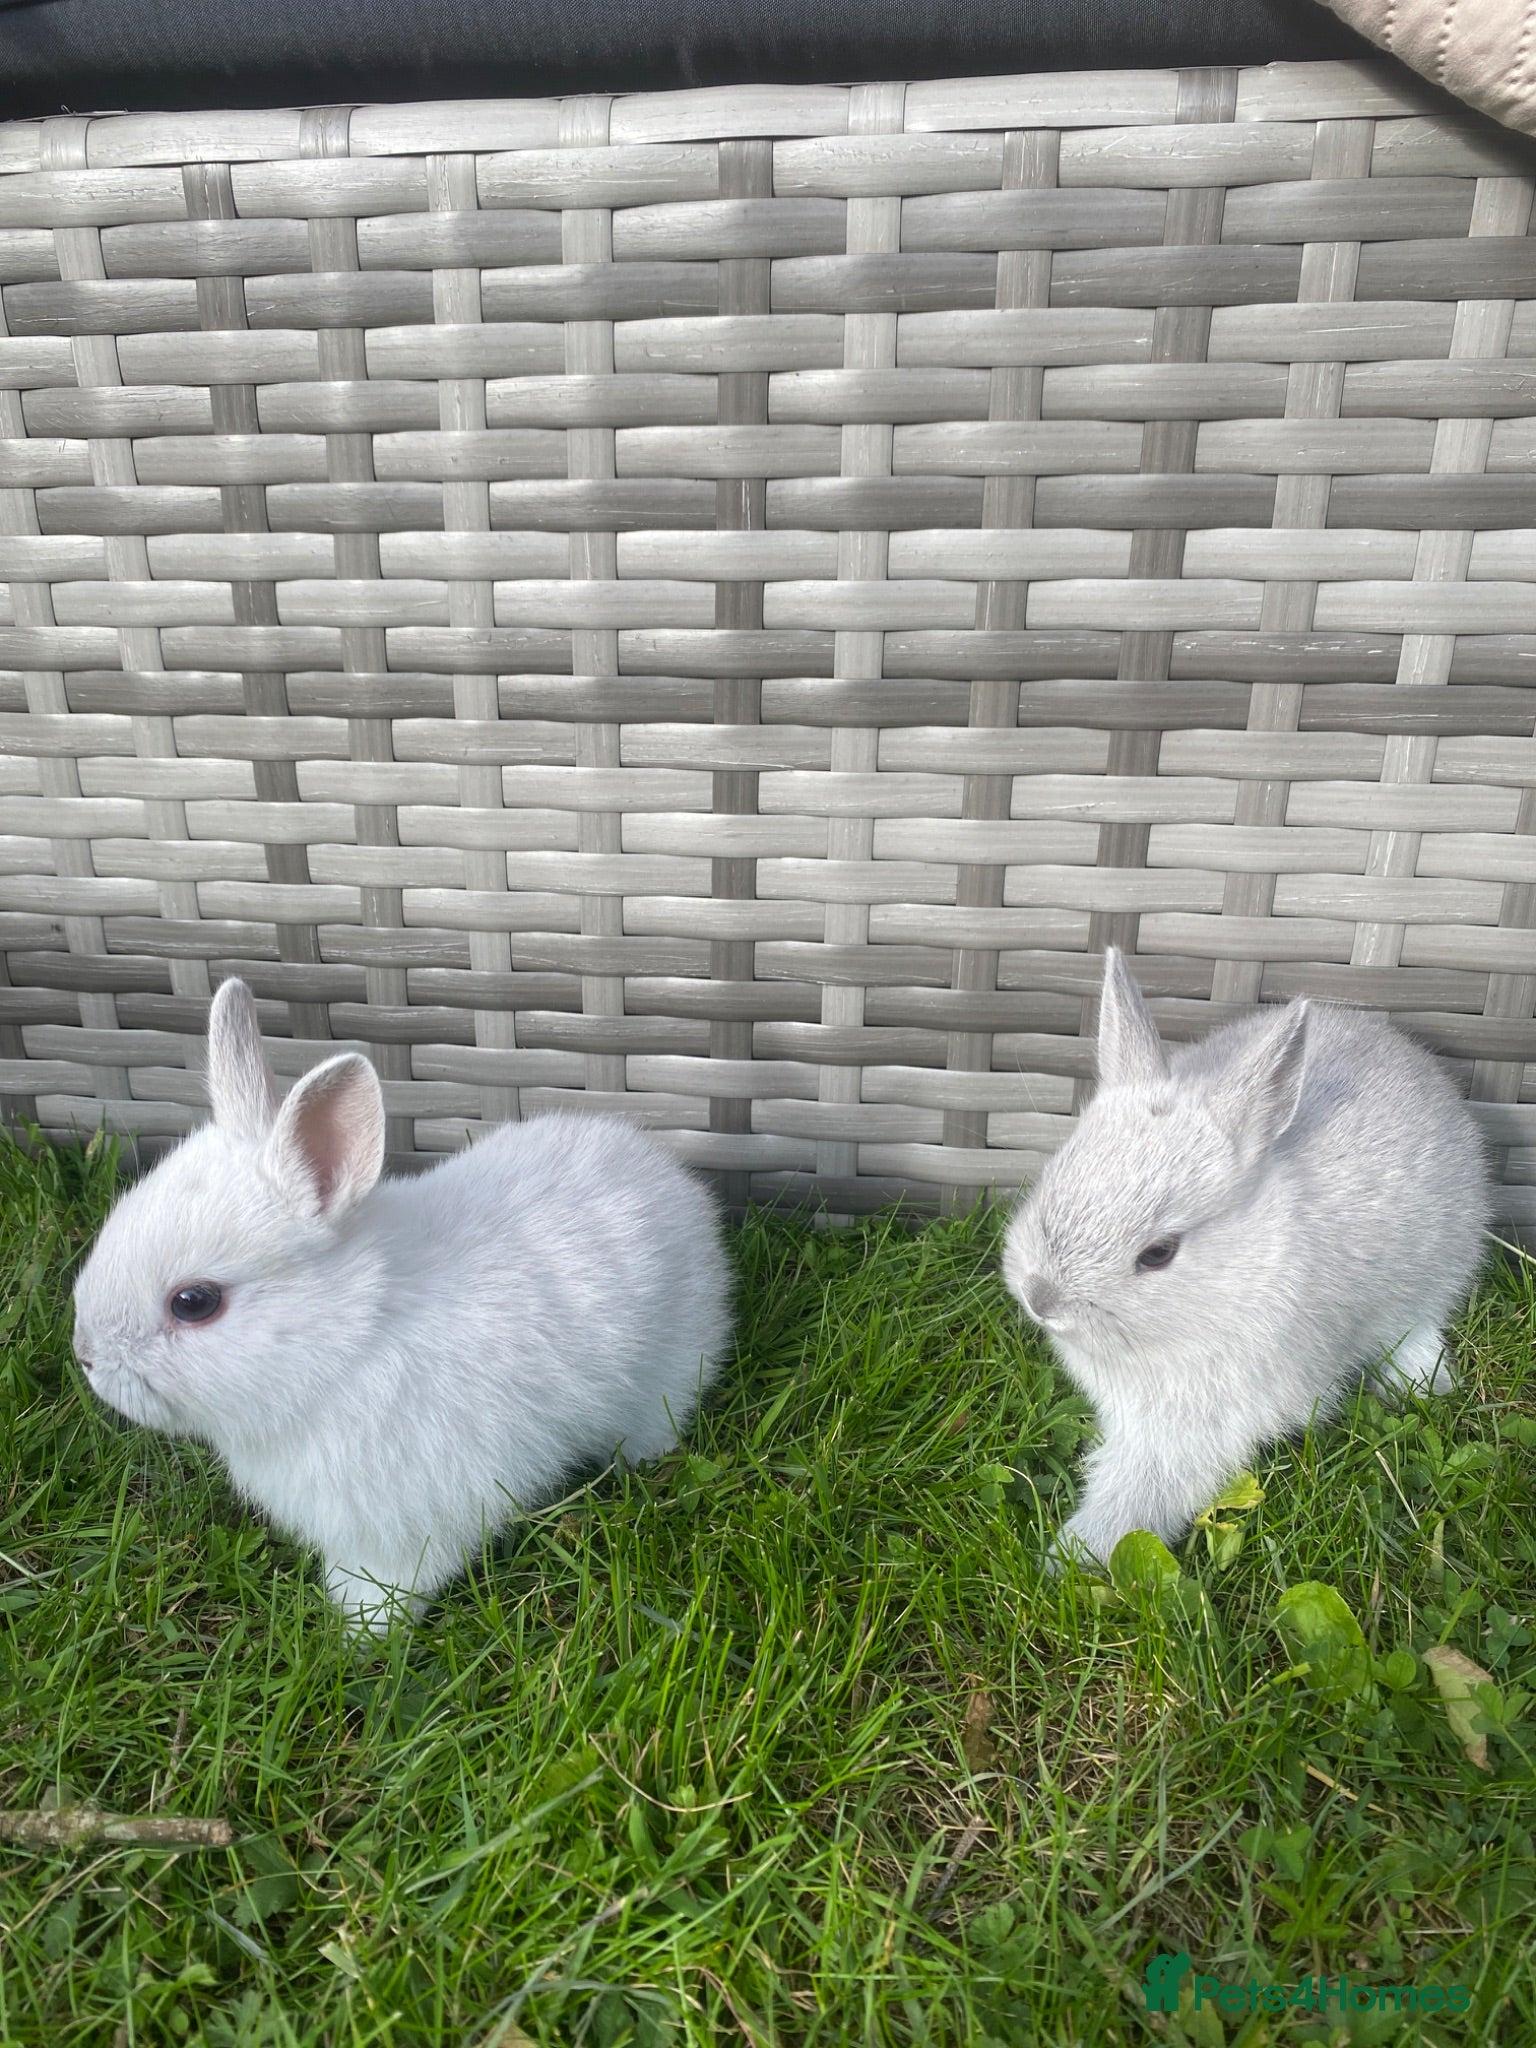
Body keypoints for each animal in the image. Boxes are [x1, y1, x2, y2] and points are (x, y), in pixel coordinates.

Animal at [72, 978, 733, 1631]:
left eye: (194, 1302)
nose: (86, 1356)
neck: (351, 1343)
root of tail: (669, 1177)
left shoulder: (410, 1522)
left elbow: (391, 1581)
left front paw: (362, 1631)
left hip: (666, 1376)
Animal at [1002, 947, 1491, 1568]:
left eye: (1158, 1254)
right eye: (1055, 1172)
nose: (1041, 1299)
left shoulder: (1201, 1423)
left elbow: (1144, 1485)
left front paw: (1076, 1555)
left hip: (1438, 1273)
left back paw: (1426, 1383)